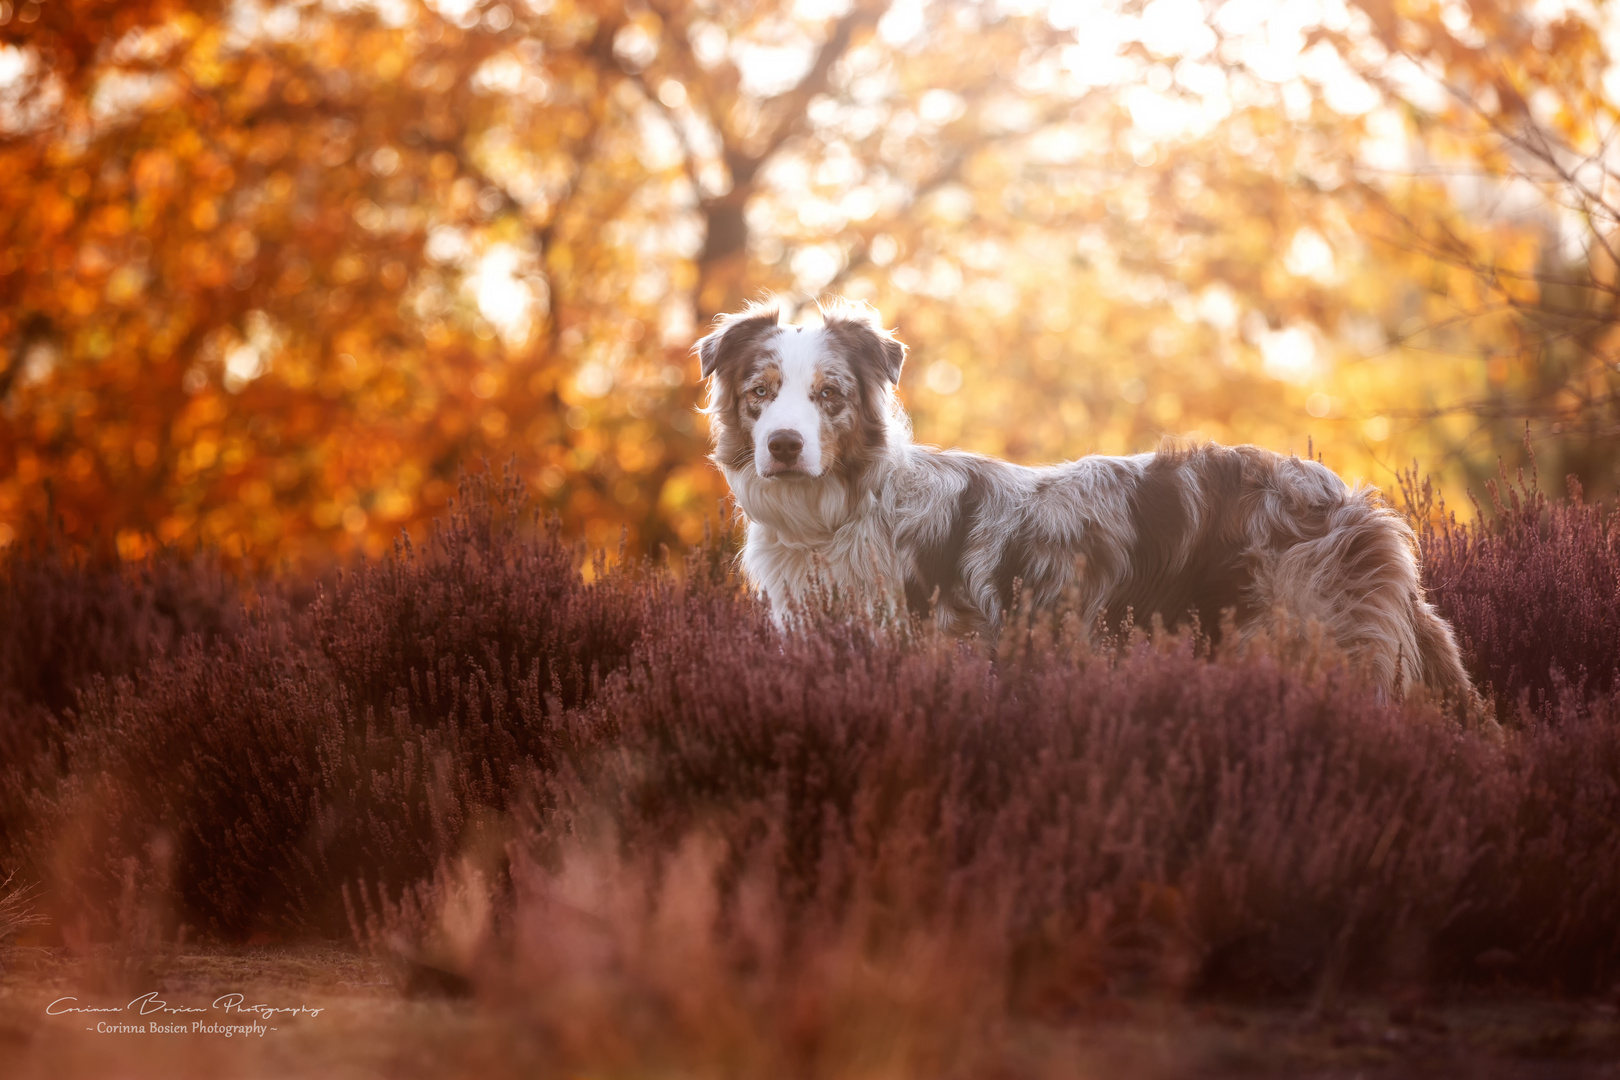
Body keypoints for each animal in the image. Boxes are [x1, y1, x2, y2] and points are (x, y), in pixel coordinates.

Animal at [696, 299, 1483, 705]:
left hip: (1320, 649)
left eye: (828, 394)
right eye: (761, 392)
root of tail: (1349, 499)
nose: (785, 445)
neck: (837, 515)